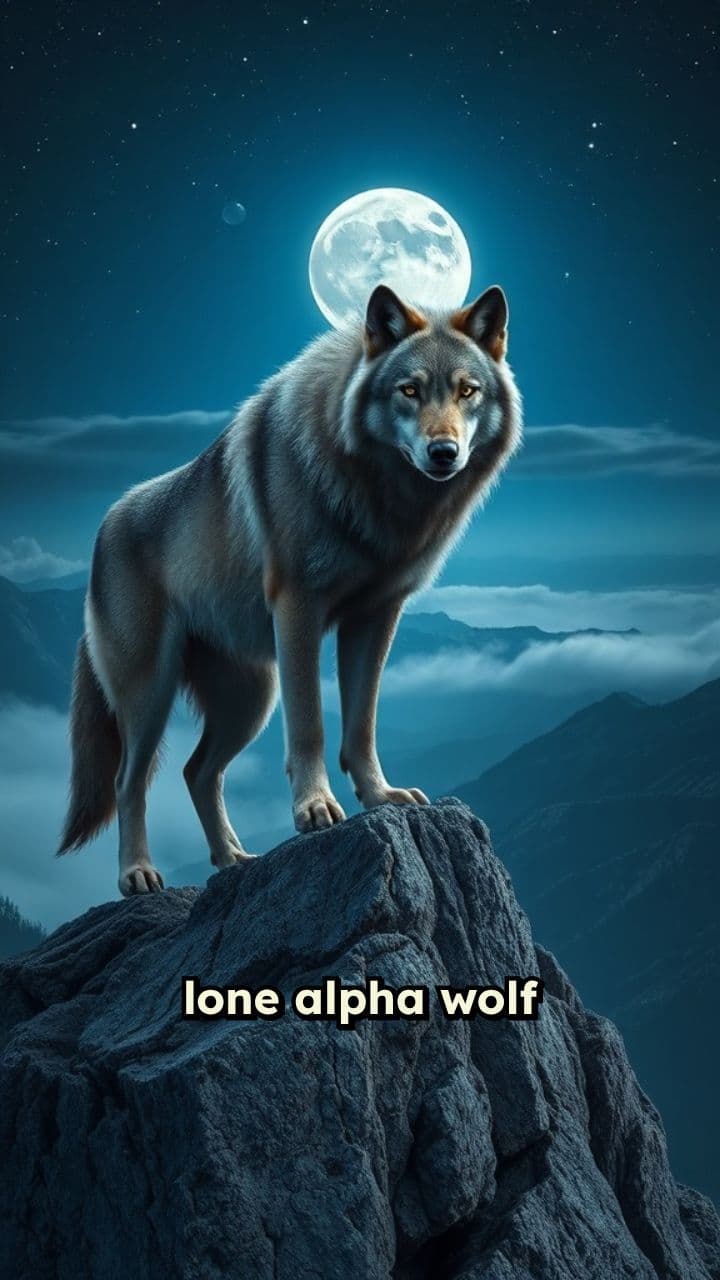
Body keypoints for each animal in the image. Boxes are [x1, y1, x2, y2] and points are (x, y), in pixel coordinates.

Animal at [57, 283, 522, 895]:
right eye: (410, 390)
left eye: (467, 391)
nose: (443, 452)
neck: (377, 496)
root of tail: (102, 529)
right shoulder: (299, 608)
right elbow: (311, 725)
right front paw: (315, 810)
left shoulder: (376, 617)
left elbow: (362, 724)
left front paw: (380, 795)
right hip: (151, 695)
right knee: (127, 783)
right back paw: (138, 873)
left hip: (251, 698)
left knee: (196, 771)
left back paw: (234, 858)